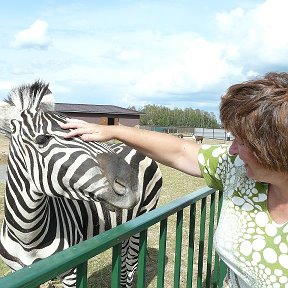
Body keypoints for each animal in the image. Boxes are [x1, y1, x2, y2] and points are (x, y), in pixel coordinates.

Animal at [0, 80, 162, 286]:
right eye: (42, 139)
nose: (132, 183)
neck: (27, 237)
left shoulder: (71, 272)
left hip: (143, 218)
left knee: (131, 265)